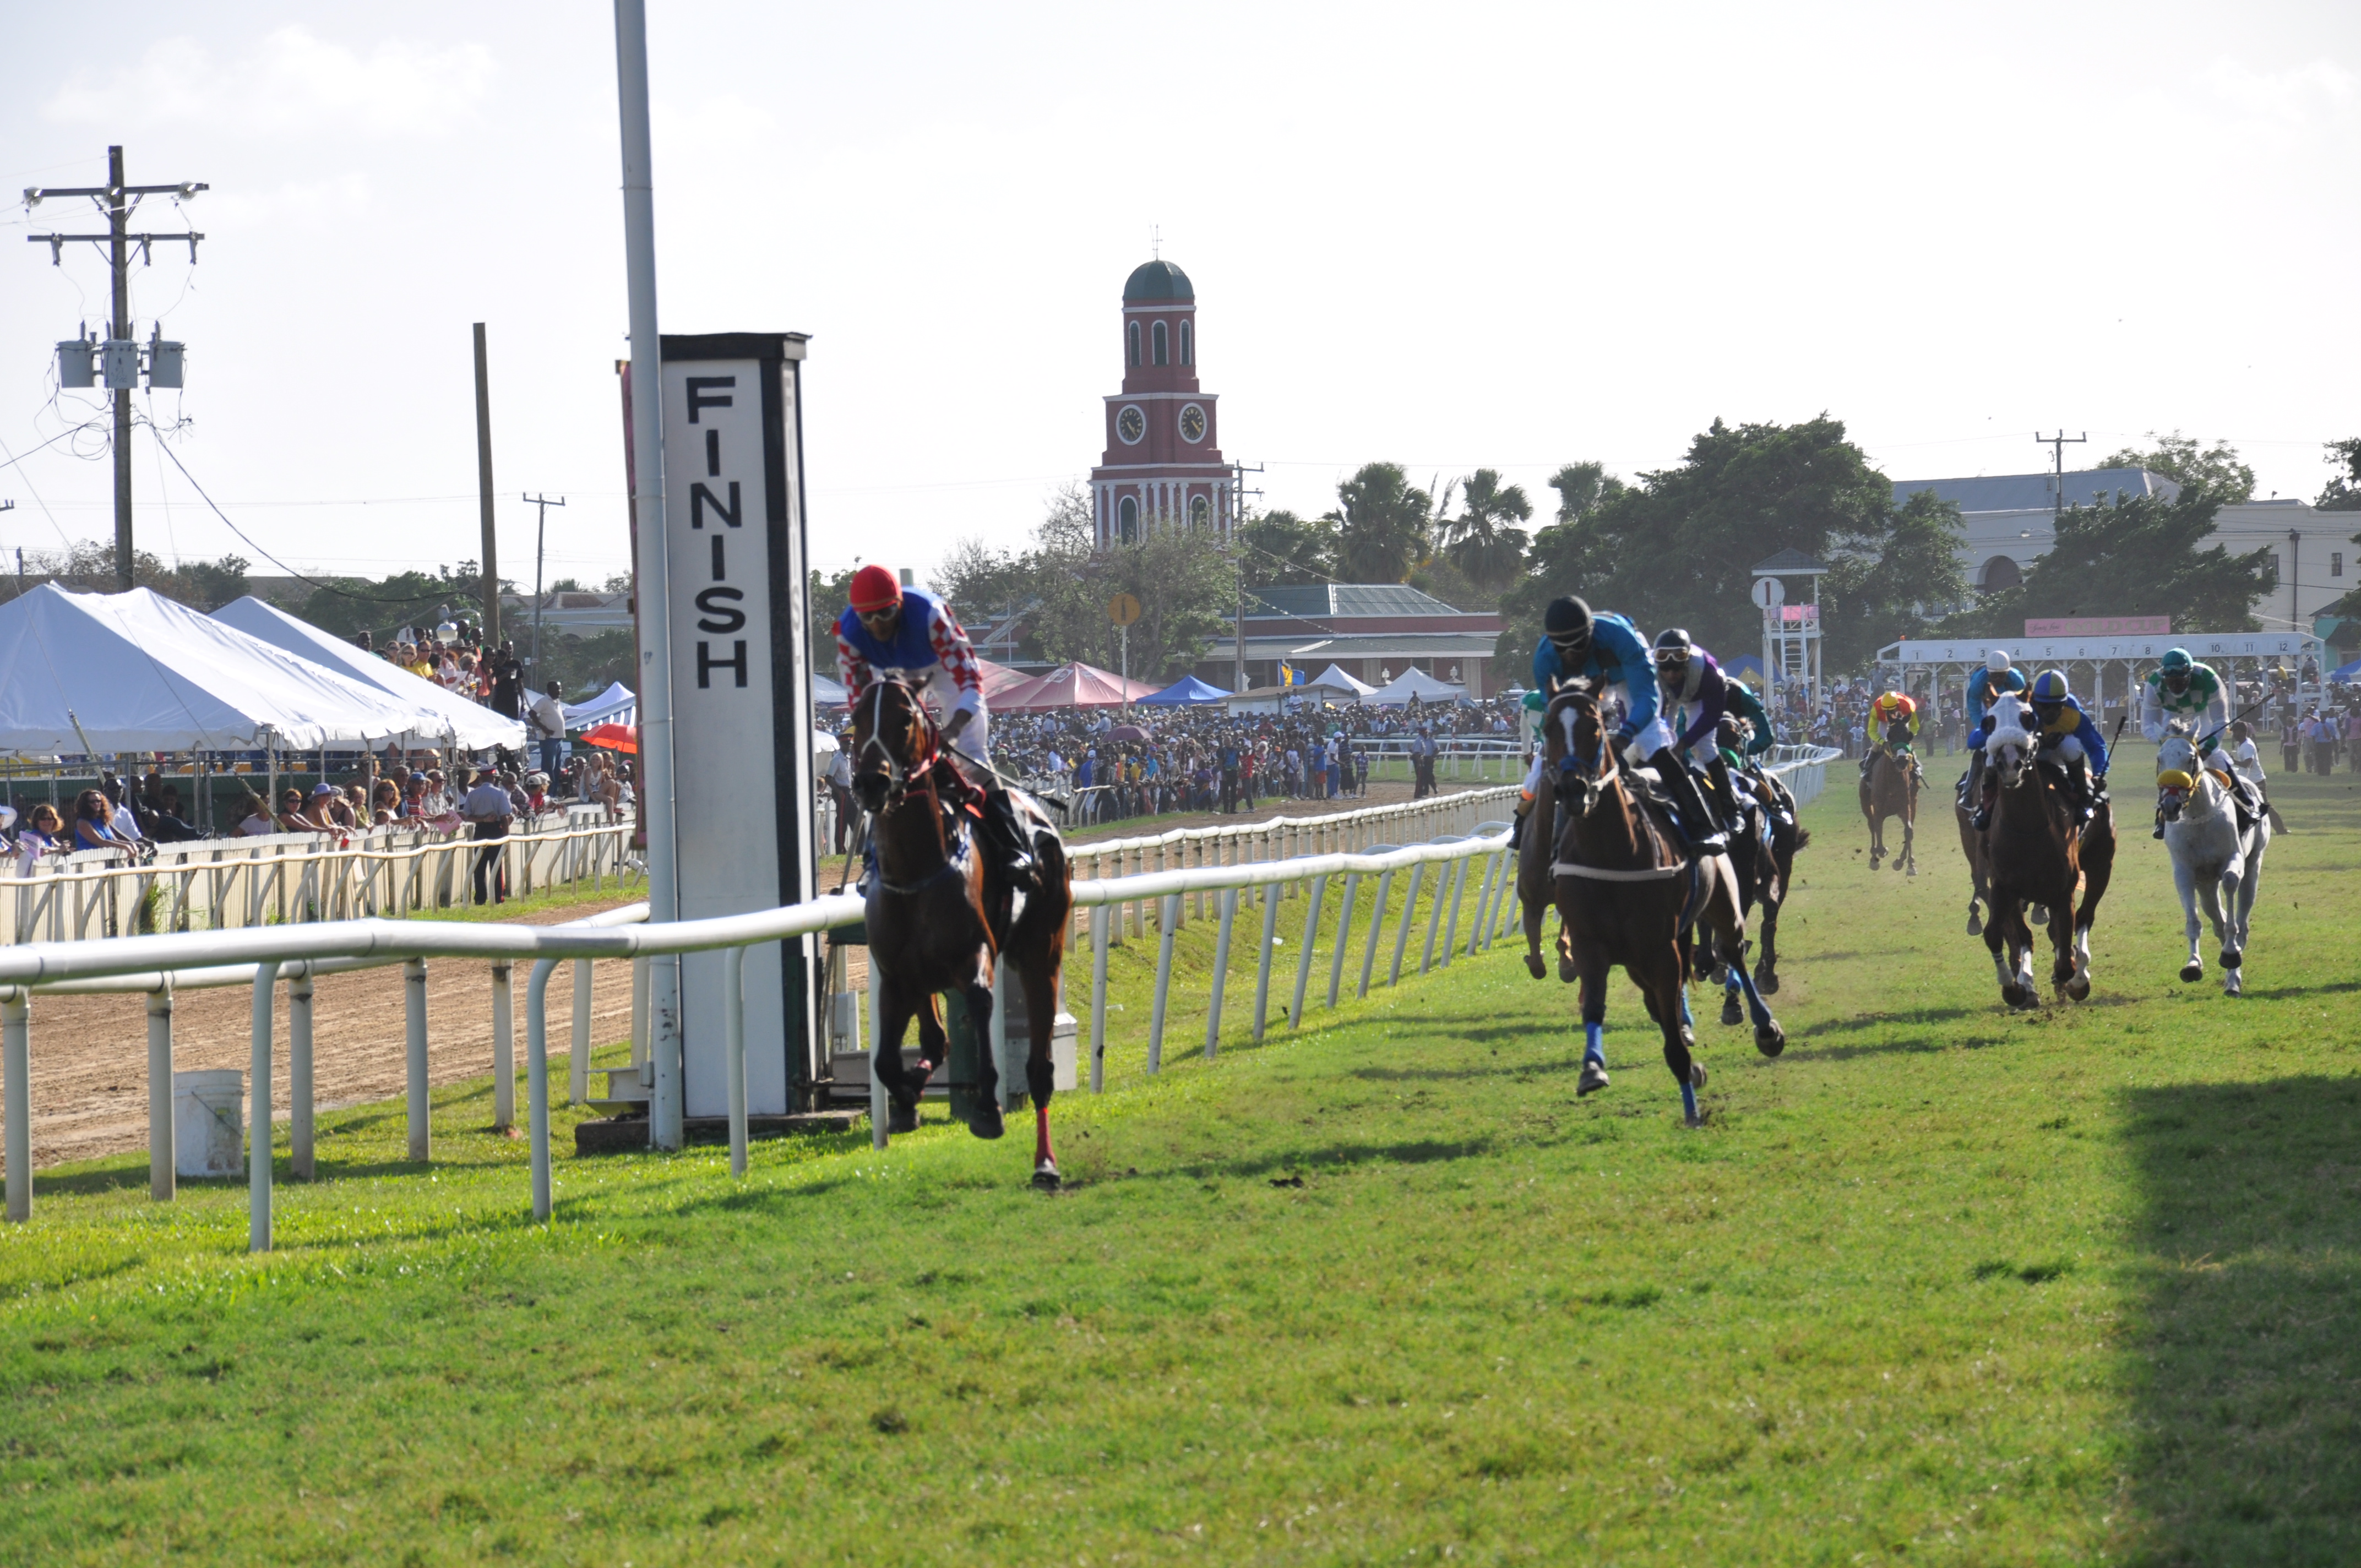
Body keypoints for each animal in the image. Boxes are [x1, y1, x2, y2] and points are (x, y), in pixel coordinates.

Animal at [850, 675, 1071, 1190]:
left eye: (904, 718)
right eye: (854, 717)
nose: (871, 782)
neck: (917, 869)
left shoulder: (974, 956)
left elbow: (981, 1004)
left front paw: (987, 1108)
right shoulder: (896, 976)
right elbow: (890, 1060)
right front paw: (906, 1103)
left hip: (1042, 952)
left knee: (1041, 1069)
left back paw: (1045, 1164)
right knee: (936, 1040)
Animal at [1539, 684, 1775, 1129]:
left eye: (1594, 727)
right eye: (1547, 728)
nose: (1573, 790)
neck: (1612, 851)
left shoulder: (1660, 948)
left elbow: (1672, 1030)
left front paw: (1692, 1106)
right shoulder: (1591, 944)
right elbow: (1594, 1004)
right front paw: (1592, 1069)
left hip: (1722, 905)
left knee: (1733, 952)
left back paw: (1765, 1027)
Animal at [1860, 717, 1917, 873]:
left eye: (1909, 736)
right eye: (1890, 736)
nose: (1902, 760)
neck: (1892, 779)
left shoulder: (1905, 806)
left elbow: (1909, 831)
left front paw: (1907, 863)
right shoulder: (1878, 807)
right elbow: (1877, 827)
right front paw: (1881, 851)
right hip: (1866, 804)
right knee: (1871, 824)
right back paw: (1874, 858)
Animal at [1973, 694, 2125, 1010]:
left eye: (2028, 718)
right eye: (1988, 721)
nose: (2009, 765)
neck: (2028, 827)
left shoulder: (2063, 889)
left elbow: (2065, 952)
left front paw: (2072, 978)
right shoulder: (2004, 886)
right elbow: (2001, 935)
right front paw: (2017, 988)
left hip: (2101, 867)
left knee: (2084, 917)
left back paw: (2078, 978)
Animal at [2162, 732, 2266, 992]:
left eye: (2191, 759)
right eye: (2160, 758)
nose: (2170, 806)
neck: (2198, 817)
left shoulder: (2233, 859)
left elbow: (2230, 886)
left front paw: (2231, 954)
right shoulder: (2185, 873)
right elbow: (2195, 921)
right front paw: (2192, 964)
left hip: (2253, 865)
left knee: (2242, 921)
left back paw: (2233, 975)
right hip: (2206, 885)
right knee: (2217, 919)